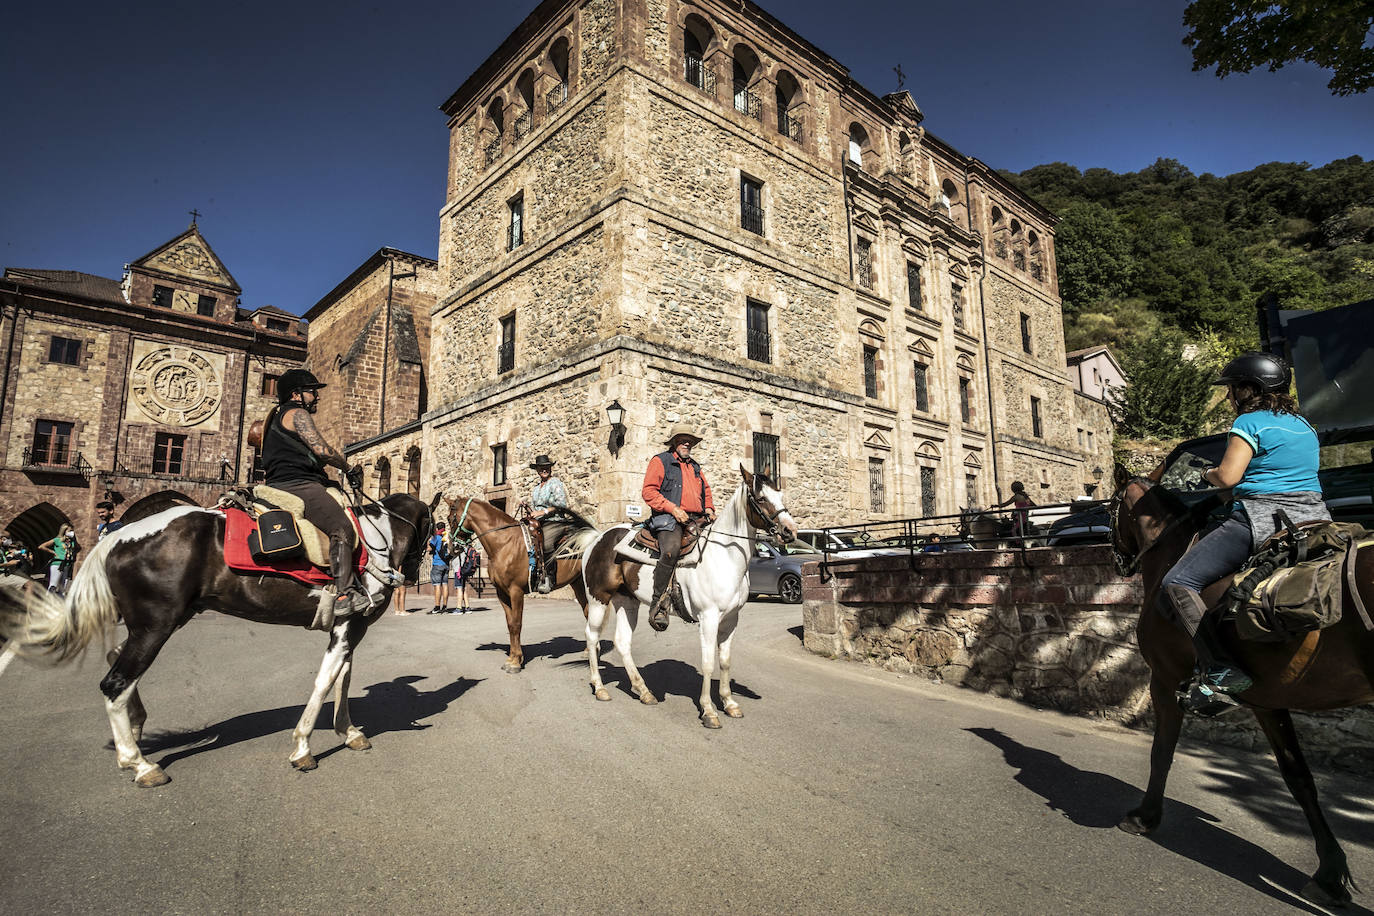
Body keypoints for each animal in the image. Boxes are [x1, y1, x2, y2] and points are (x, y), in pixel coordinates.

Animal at [0, 494, 434, 791]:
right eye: (431, 530)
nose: (411, 575)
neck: (376, 537)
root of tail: (116, 537)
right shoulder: (350, 624)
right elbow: (326, 680)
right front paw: (302, 746)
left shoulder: (348, 624)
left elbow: (343, 677)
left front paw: (349, 731)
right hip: (157, 624)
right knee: (116, 681)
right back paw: (139, 763)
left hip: (160, 620)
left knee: (117, 660)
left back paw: (136, 730)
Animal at [442, 494, 599, 672]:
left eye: (450, 518)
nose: (451, 548)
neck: (504, 544)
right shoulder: (502, 593)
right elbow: (510, 624)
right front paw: (512, 658)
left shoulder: (516, 591)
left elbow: (517, 624)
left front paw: (516, 662)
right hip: (577, 584)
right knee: (587, 612)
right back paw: (589, 651)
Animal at [577, 469, 796, 725]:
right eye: (761, 499)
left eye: (780, 495)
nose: (790, 531)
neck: (724, 556)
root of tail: (598, 539)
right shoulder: (709, 618)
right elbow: (708, 663)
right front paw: (709, 710)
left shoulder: (731, 619)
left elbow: (725, 661)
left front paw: (729, 703)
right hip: (598, 599)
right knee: (591, 636)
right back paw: (600, 687)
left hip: (627, 602)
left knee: (622, 642)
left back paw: (644, 691)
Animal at [1104, 461, 1374, 906]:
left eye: (1109, 507)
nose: (1119, 560)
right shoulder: (1266, 700)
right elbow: (1298, 777)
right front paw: (1330, 873)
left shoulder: (1163, 678)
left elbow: (1161, 752)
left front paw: (1145, 816)